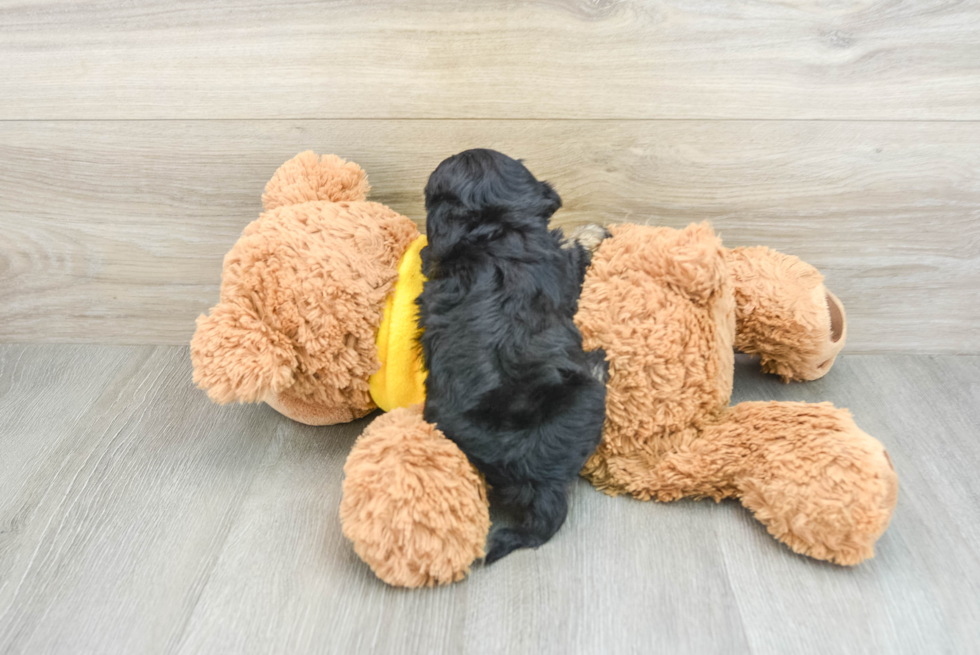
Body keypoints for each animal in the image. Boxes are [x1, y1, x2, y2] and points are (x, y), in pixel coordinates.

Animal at [418, 149, 608, 564]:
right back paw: (600, 364)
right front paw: (594, 232)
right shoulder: (563, 271)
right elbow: (575, 253)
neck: (491, 231)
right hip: (585, 397)